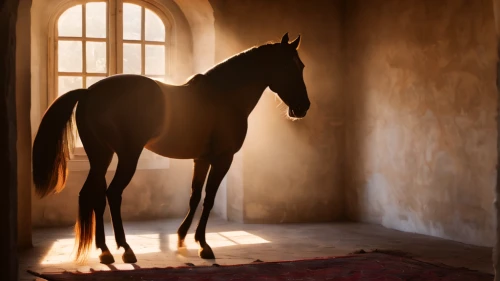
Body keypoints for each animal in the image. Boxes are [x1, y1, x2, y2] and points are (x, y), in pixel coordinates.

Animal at [32, 32, 308, 262]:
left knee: (93, 195)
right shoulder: (222, 159)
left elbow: (195, 196)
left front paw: (183, 237)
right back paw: (125, 249)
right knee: (112, 194)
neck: (223, 97)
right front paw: (204, 245)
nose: (303, 107)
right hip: (127, 157)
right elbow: (209, 198)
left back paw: (105, 251)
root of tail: (89, 92)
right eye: (288, 67)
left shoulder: (201, 159)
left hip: (101, 157)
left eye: (301, 66)